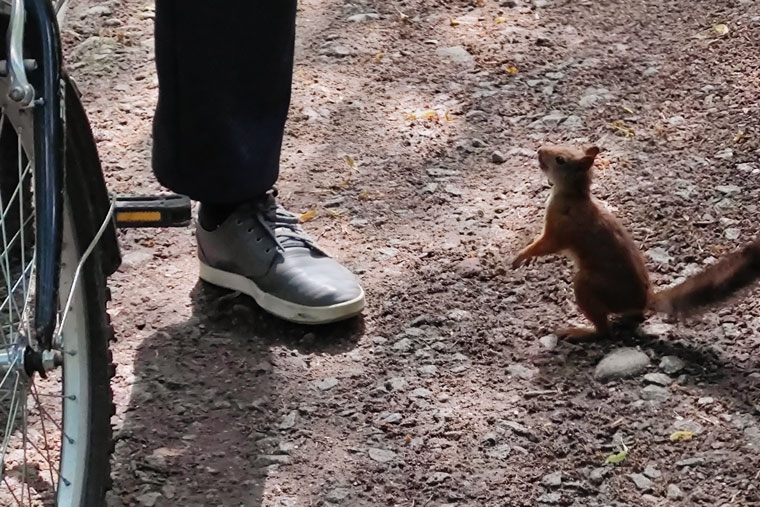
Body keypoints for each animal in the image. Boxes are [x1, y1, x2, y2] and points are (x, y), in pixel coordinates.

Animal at [510, 145, 760, 340]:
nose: (540, 150)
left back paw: (580, 332)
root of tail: (643, 301)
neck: (575, 196)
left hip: (588, 285)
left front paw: (522, 255)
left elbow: (547, 244)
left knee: (604, 331)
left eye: (560, 159)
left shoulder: (561, 227)